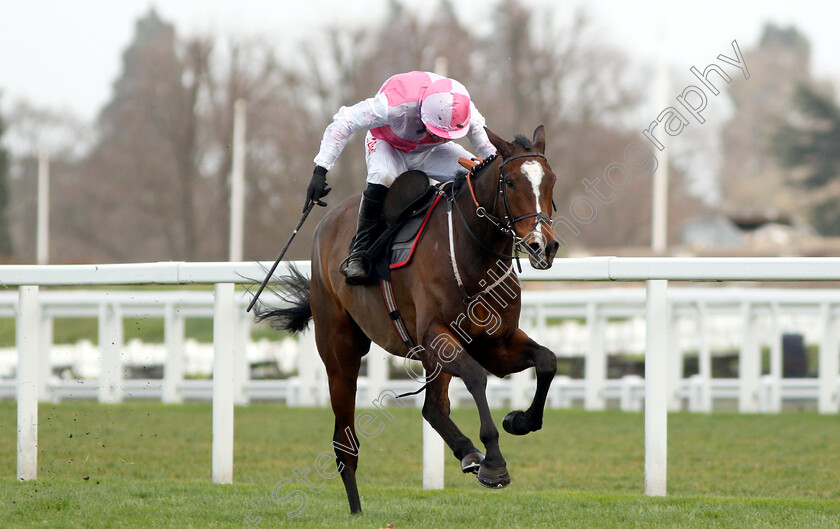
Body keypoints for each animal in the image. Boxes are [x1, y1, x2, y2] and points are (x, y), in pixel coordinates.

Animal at [256, 126, 556, 512]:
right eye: (512, 182)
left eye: (551, 180)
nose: (542, 245)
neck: (470, 254)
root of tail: (327, 223)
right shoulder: (436, 336)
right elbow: (476, 377)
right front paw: (494, 462)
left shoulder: (496, 342)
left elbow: (547, 361)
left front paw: (519, 420)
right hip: (340, 351)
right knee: (345, 441)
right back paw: (357, 510)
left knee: (433, 409)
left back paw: (467, 452)